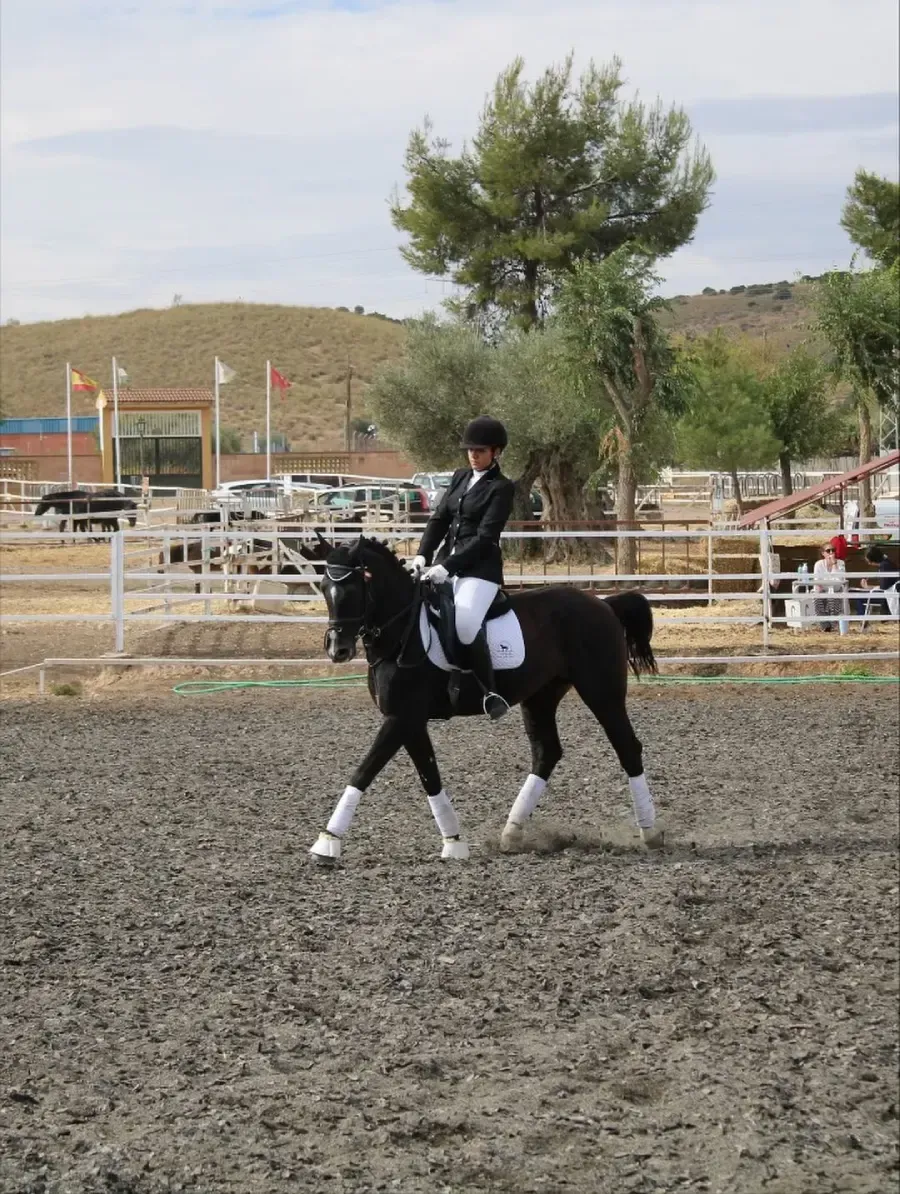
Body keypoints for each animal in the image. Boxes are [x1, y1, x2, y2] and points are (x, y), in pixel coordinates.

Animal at [309, 535, 663, 865]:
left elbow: (364, 771)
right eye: (325, 587)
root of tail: (603, 604)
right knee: (547, 753)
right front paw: (453, 842)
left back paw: (650, 833)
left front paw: (327, 841)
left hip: (601, 692)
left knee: (628, 748)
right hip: (540, 697)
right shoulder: (408, 720)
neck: (403, 636)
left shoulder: (401, 718)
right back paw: (511, 833)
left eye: (355, 588)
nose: (338, 650)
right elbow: (429, 776)